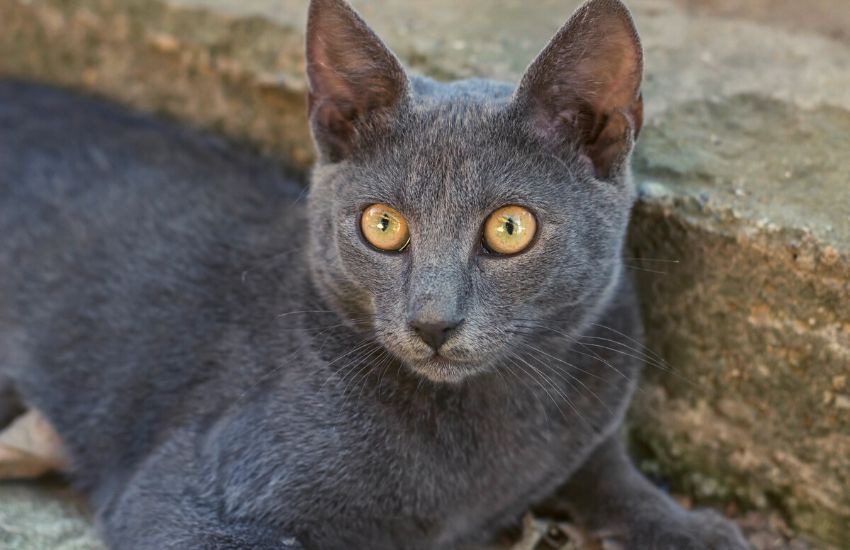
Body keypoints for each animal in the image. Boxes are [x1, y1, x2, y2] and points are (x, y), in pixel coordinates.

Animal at [0, 0, 744, 548]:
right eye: (382, 225)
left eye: (510, 228)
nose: (433, 321)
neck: (486, 430)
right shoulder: (182, 497)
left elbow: (610, 472)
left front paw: (690, 528)